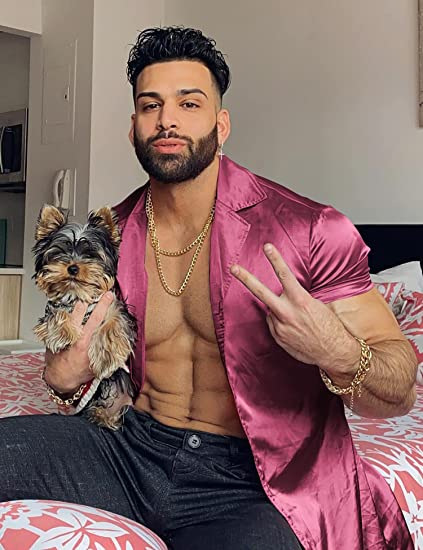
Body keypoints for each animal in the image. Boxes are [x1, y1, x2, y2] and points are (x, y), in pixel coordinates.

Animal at [32, 204, 137, 430]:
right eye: (60, 252)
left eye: (90, 254)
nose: (72, 267)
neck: (77, 294)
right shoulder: (54, 306)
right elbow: (57, 313)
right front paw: (62, 333)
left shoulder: (115, 305)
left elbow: (115, 322)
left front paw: (106, 355)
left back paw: (105, 415)